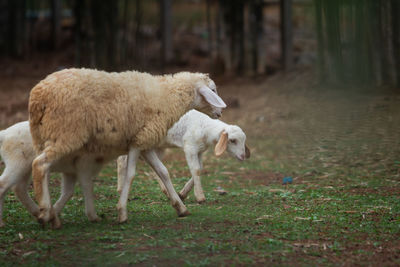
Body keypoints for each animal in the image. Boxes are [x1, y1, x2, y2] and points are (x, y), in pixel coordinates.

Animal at [29, 68, 227, 227]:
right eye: (213, 90)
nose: (220, 112)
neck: (167, 97)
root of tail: (38, 96)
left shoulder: (145, 141)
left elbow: (163, 172)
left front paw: (180, 207)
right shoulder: (138, 142)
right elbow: (130, 175)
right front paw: (122, 211)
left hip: (43, 137)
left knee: (45, 171)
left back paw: (50, 213)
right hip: (65, 133)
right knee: (40, 165)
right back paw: (46, 211)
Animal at [116, 110, 250, 204]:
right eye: (232, 140)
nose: (243, 156)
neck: (205, 128)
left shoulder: (199, 151)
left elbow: (200, 168)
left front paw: (183, 194)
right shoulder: (190, 147)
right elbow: (196, 169)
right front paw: (200, 197)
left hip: (158, 146)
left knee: (155, 166)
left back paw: (167, 192)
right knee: (122, 160)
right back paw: (121, 190)